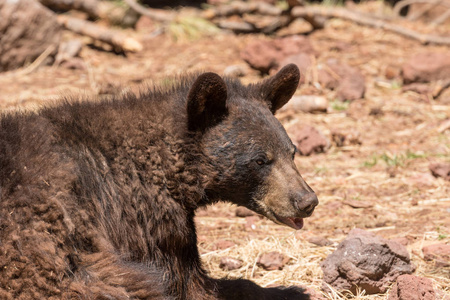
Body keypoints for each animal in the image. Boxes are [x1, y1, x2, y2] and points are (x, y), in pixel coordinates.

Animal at [0, 64, 318, 298]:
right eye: (260, 160)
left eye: (292, 152)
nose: (307, 201)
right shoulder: (146, 221)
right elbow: (190, 283)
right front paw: (287, 290)